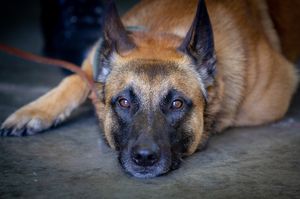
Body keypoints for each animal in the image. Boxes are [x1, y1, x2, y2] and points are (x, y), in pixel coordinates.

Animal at [1, 0, 298, 177]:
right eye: (123, 102)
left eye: (177, 103)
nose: (144, 158)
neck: (163, 34)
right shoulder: (91, 62)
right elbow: (73, 79)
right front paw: (34, 111)